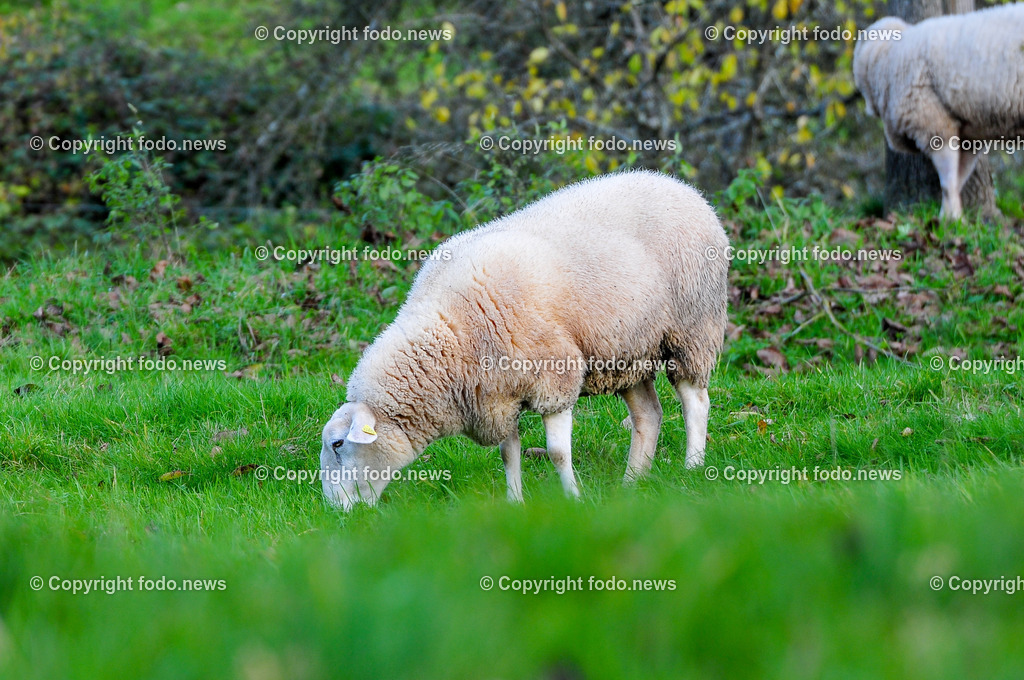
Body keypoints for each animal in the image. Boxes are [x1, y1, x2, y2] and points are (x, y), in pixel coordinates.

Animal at [320, 170, 730, 510]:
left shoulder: (555, 375)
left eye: (338, 444)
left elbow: (557, 452)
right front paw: (515, 502)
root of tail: (684, 188)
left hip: (692, 327)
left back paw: (692, 466)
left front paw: (574, 499)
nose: (336, 512)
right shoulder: (496, 393)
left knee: (695, 401)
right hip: (628, 351)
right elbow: (509, 451)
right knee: (649, 415)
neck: (451, 332)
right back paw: (632, 483)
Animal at [852, 4, 1024, 219]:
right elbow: (959, 176)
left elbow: (947, 180)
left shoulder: (933, 121)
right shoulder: (970, 135)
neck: (890, 57)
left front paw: (949, 219)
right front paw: (953, 215)